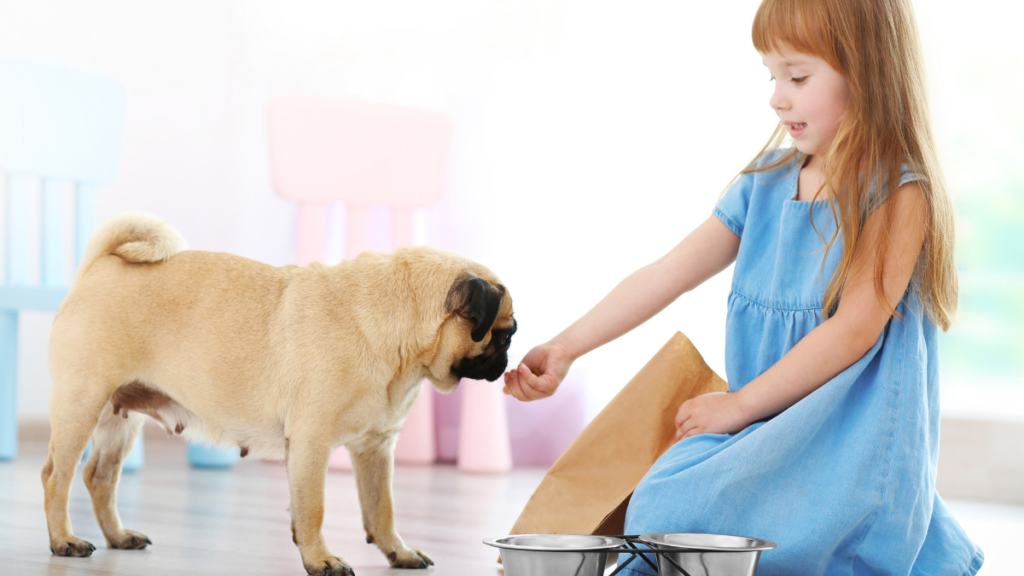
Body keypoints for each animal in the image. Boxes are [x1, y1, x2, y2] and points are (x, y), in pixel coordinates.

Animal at [43, 212, 516, 573]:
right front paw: (320, 559)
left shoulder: (375, 450)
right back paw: (64, 540)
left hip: (119, 419)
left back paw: (118, 536)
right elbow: (313, 508)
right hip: (81, 404)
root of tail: (101, 265)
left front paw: (397, 552)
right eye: (504, 333)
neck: (396, 321)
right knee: (57, 476)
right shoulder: (311, 444)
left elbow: (381, 508)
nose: (506, 362)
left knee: (99, 477)